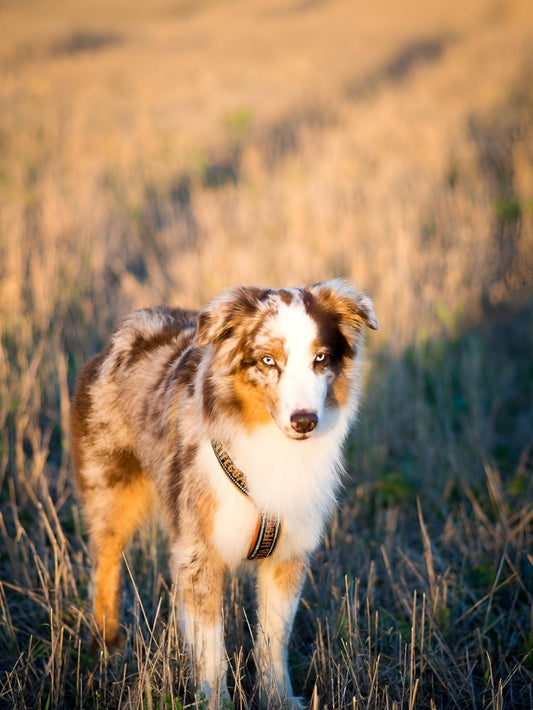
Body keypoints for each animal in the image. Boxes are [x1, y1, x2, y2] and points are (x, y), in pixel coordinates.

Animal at [71, 280, 378, 708]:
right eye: (267, 360)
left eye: (320, 358)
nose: (305, 421)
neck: (271, 445)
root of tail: (121, 336)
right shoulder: (199, 553)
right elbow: (211, 648)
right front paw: (215, 699)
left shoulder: (288, 556)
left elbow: (273, 641)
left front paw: (278, 698)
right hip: (111, 489)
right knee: (106, 561)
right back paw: (108, 643)